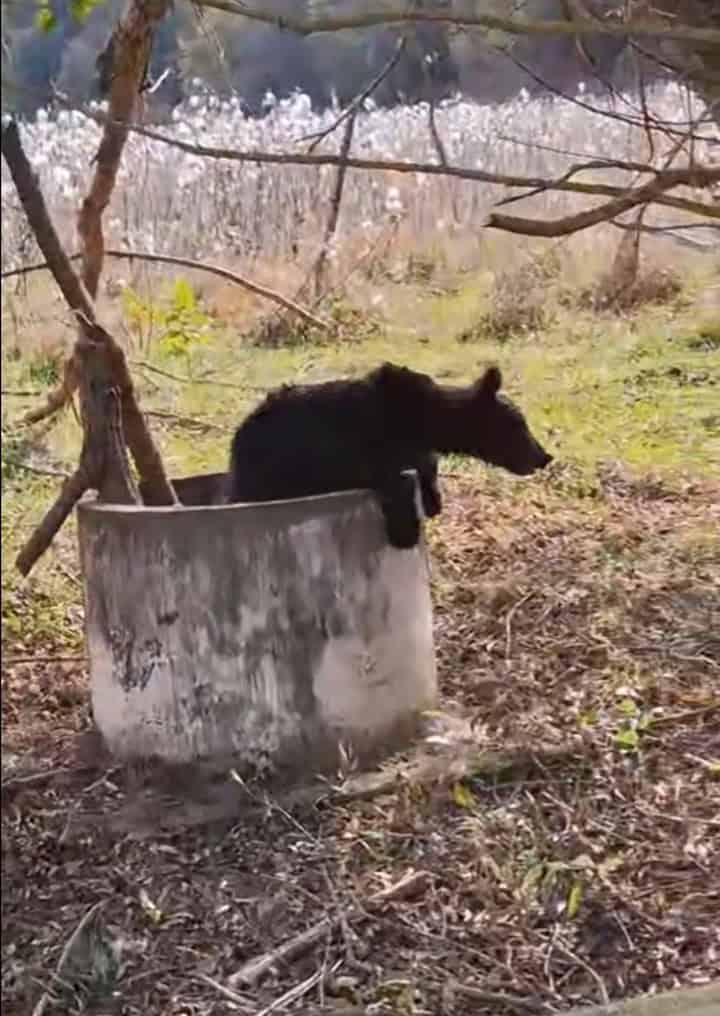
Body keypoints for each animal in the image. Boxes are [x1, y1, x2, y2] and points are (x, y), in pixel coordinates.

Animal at [227, 363, 552, 548]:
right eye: (517, 424)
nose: (544, 456)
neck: (425, 422)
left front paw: (431, 497)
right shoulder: (351, 452)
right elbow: (388, 477)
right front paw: (405, 530)